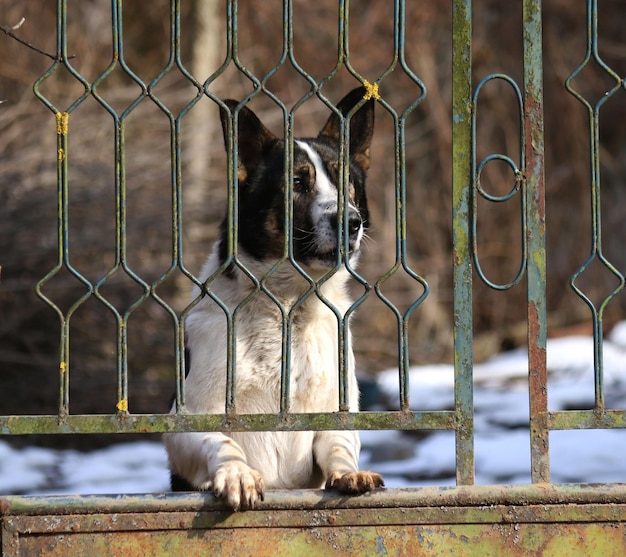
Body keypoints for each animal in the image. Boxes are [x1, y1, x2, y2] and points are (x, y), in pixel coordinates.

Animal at [163, 86, 382, 508]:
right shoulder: (185, 425)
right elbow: (222, 441)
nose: (351, 223)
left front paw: (349, 473)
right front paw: (237, 473)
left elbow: (338, 446)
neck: (287, 307)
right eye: (296, 182)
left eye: (345, 181)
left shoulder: (336, 417)